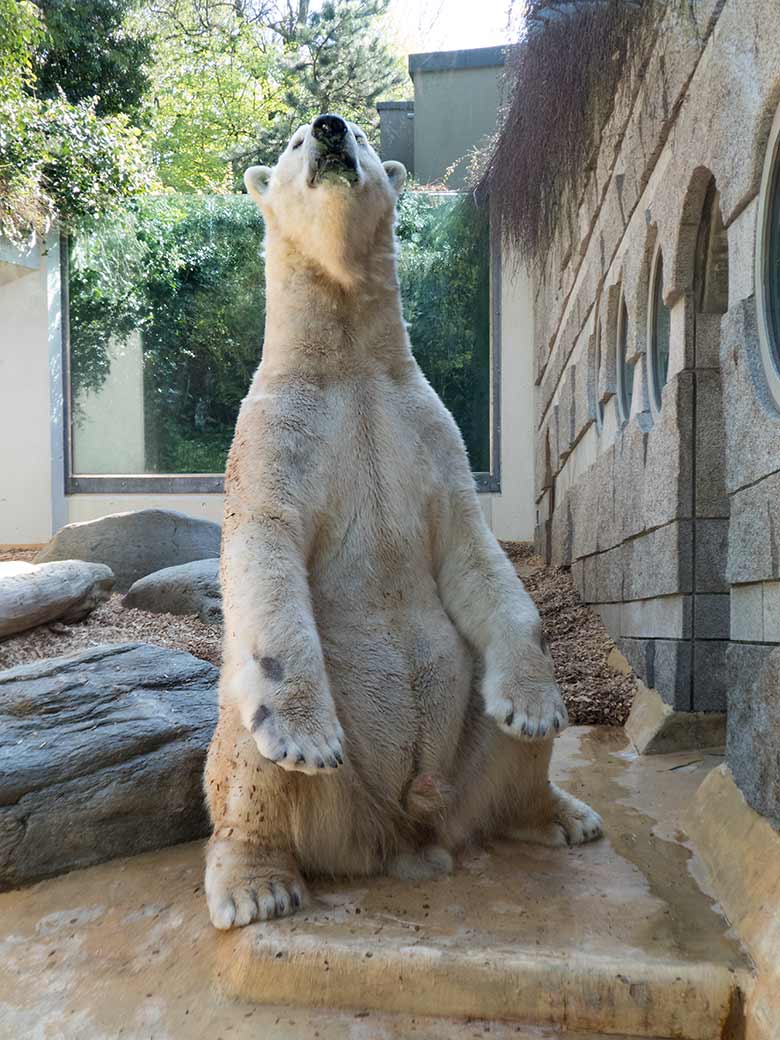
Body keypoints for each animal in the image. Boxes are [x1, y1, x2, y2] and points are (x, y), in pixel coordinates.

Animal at [202, 115, 603, 935]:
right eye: (296, 142)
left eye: (356, 131)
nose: (329, 128)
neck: (349, 367)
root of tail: (401, 832)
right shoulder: (271, 437)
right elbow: (265, 547)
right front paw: (303, 733)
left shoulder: (427, 430)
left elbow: (472, 548)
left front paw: (534, 705)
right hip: (325, 798)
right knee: (244, 743)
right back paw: (258, 882)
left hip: (464, 752)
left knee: (501, 738)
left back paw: (558, 810)